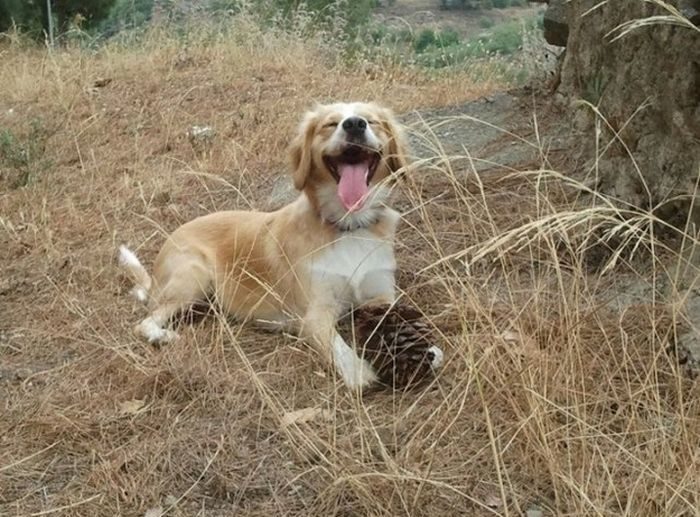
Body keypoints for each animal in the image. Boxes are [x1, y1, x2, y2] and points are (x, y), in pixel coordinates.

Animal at [119, 101, 441, 389]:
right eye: (330, 124)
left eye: (371, 121)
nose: (354, 125)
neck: (349, 224)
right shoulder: (315, 314)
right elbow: (337, 345)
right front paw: (357, 370)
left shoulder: (381, 297)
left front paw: (429, 349)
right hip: (194, 276)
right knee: (144, 323)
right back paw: (162, 335)